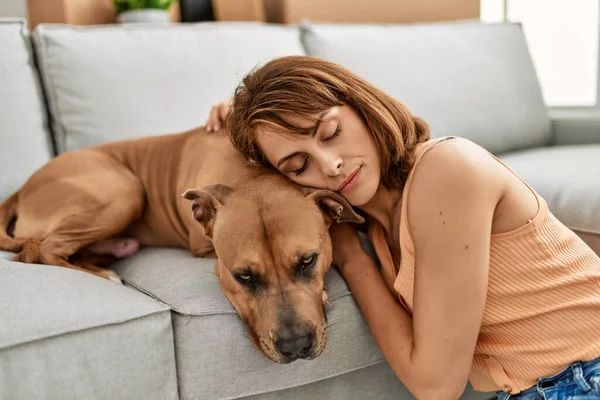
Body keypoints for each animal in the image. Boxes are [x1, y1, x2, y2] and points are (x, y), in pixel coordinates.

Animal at [0, 127, 364, 362]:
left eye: (308, 261)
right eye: (243, 276)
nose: (295, 346)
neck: (249, 177)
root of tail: (24, 188)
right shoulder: (202, 247)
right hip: (123, 189)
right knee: (41, 249)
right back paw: (106, 276)